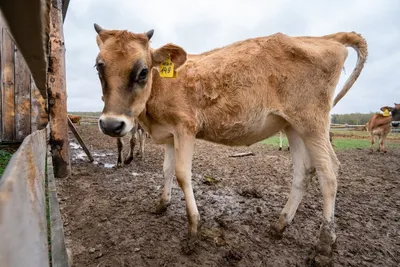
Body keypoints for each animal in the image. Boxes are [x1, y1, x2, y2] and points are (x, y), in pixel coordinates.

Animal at [92, 23, 368, 264]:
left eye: (143, 71)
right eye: (98, 67)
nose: (111, 125)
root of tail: (325, 38)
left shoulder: (185, 127)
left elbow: (182, 174)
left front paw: (194, 229)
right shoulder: (170, 134)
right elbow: (167, 170)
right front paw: (162, 204)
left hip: (313, 122)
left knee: (329, 172)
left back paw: (324, 244)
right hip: (292, 125)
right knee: (304, 171)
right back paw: (279, 225)